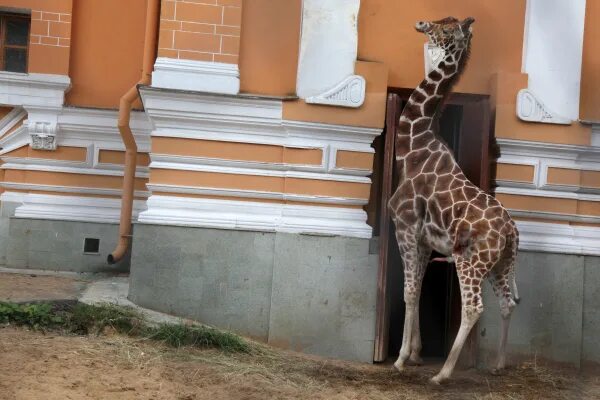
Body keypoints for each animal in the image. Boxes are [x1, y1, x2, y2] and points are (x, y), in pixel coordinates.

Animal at [390, 17, 520, 386]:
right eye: (441, 23)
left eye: (447, 30)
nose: (421, 23)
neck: (412, 146)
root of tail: (511, 231)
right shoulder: (425, 241)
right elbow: (418, 289)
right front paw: (415, 354)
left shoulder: (405, 227)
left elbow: (408, 291)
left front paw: (400, 359)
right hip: (501, 263)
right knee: (507, 303)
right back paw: (499, 364)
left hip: (469, 261)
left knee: (475, 307)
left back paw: (443, 373)